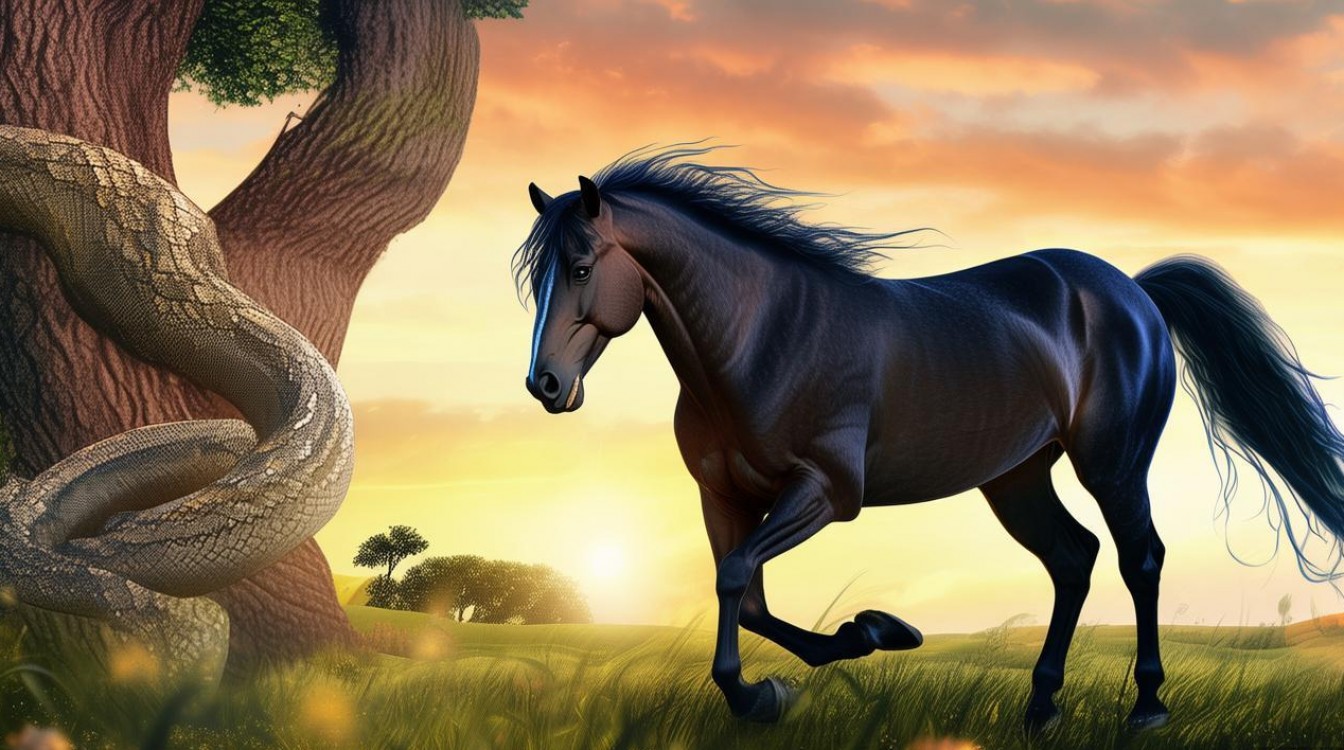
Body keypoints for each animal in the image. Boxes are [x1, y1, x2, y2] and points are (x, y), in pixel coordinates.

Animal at [514, 145, 1344, 731]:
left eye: (581, 267)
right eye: (535, 280)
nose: (545, 386)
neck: (761, 338)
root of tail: (1135, 291)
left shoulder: (825, 492)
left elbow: (736, 578)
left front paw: (776, 687)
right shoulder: (722, 496)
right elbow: (742, 596)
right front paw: (862, 641)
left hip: (1112, 465)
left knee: (1139, 558)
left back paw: (1147, 708)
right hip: (1016, 478)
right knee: (1073, 559)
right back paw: (1040, 708)